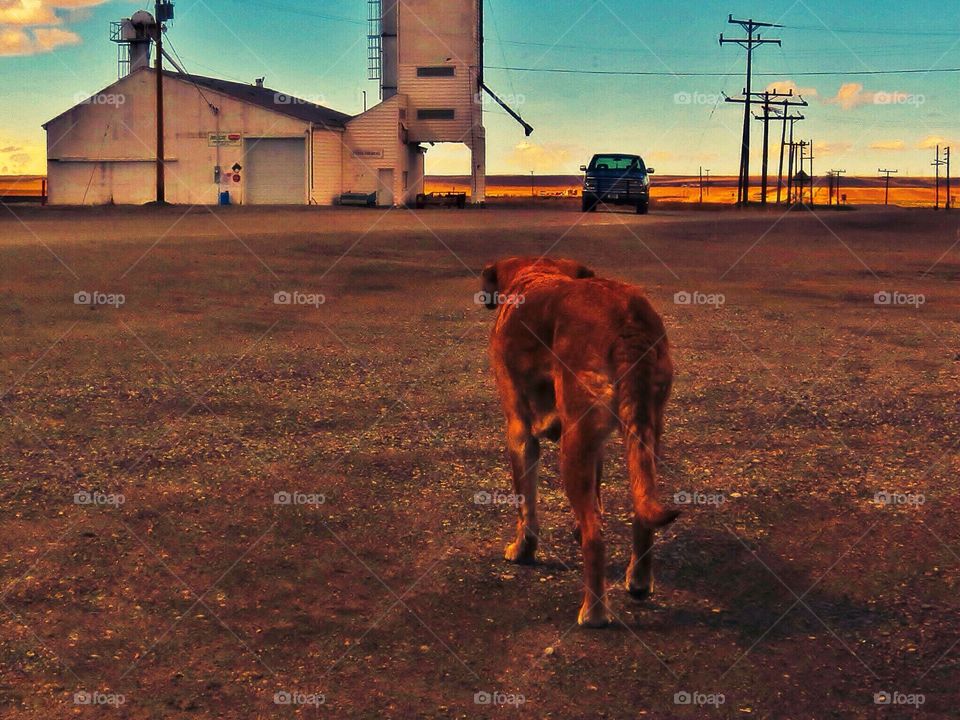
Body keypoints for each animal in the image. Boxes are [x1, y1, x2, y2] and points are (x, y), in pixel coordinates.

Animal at [478, 256, 676, 628]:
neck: (535, 277)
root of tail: (628, 318)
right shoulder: (595, 447)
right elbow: (594, 497)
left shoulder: (519, 434)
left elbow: (525, 506)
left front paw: (522, 549)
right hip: (644, 433)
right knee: (640, 510)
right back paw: (639, 581)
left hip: (571, 448)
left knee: (596, 537)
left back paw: (594, 612)